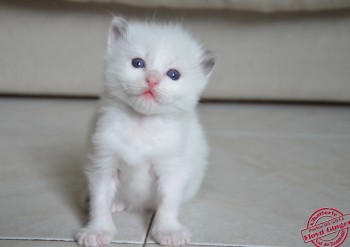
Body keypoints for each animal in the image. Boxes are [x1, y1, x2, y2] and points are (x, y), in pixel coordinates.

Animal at [76, 16, 216, 246]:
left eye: (173, 74)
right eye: (137, 63)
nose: (152, 79)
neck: (140, 123)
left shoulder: (171, 166)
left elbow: (168, 201)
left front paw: (168, 231)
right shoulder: (103, 159)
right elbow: (100, 198)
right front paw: (97, 230)